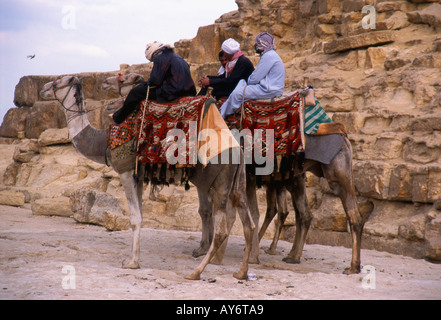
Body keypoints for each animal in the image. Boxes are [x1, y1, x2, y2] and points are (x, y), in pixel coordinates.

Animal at [40, 75, 258, 280]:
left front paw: (131, 263)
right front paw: (133, 259)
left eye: (58, 81)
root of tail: (238, 150)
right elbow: (141, 215)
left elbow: (135, 218)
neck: (104, 141)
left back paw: (196, 272)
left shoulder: (126, 171)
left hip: (220, 183)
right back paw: (241, 273)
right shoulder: (138, 174)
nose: (42, 89)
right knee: (248, 223)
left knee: (222, 227)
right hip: (237, 183)